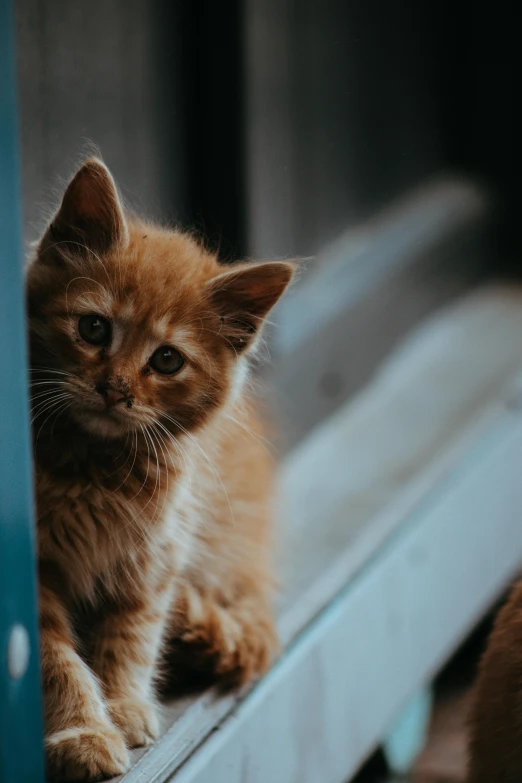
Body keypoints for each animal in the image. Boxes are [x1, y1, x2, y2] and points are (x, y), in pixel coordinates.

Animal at [28, 156, 292, 780]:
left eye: (167, 360)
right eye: (94, 328)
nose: (115, 389)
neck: (94, 467)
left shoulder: (152, 559)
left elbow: (131, 637)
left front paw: (123, 706)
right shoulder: (35, 568)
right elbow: (55, 659)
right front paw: (84, 731)